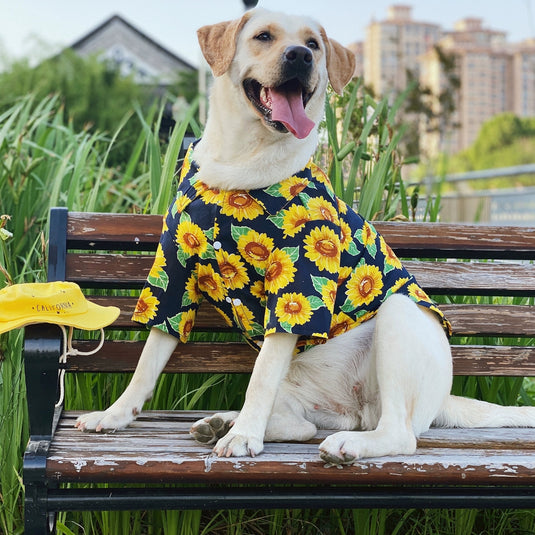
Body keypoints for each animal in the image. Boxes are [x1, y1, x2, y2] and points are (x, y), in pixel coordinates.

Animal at [76, 8, 535, 464]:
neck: (240, 163)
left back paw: (334, 443)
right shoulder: (173, 276)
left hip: (398, 320)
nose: (300, 55)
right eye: (263, 36)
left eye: (314, 44)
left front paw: (243, 438)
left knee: (397, 432)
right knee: (301, 425)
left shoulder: (294, 283)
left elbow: (259, 378)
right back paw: (223, 422)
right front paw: (116, 415)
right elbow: (148, 358)